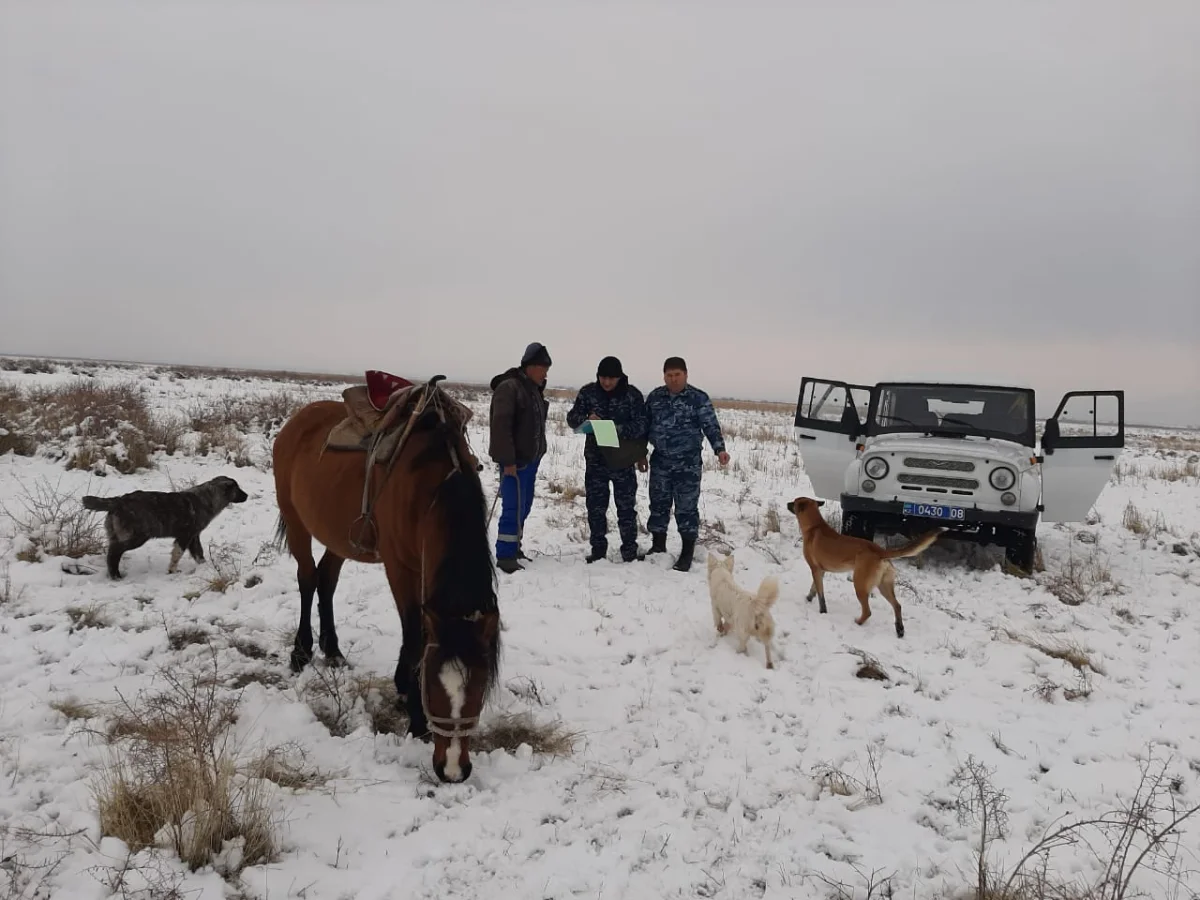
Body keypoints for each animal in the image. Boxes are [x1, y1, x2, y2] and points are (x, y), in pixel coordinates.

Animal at [81, 475, 248, 580]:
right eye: (237, 489)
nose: (246, 495)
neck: (207, 498)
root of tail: (118, 501)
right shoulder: (185, 536)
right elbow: (177, 554)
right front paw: (172, 570)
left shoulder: (194, 537)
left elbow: (199, 554)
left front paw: (205, 567)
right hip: (136, 537)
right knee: (113, 553)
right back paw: (116, 576)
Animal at [271, 384, 496, 787]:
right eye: (434, 687)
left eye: (480, 688)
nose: (453, 770)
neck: (433, 483)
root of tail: (295, 422)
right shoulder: (401, 566)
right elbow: (414, 633)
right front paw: (415, 715)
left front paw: (404, 689)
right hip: (296, 520)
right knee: (308, 579)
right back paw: (301, 652)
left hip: (340, 537)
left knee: (327, 580)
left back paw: (333, 650)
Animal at [787, 496, 945, 638]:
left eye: (794, 502)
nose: (787, 503)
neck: (814, 526)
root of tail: (880, 551)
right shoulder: (821, 571)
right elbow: (814, 588)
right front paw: (808, 598)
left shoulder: (815, 569)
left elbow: (820, 594)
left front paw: (822, 611)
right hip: (884, 585)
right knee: (897, 606)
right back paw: (899, 629)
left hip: (860, 585)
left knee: (868, 611)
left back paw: (858, 623)